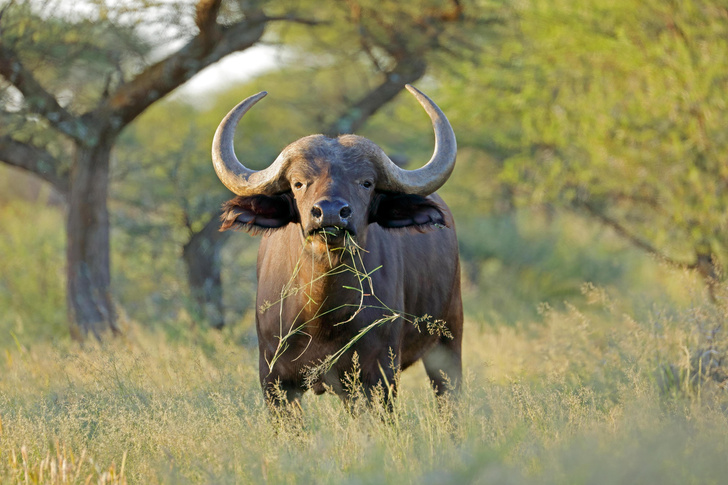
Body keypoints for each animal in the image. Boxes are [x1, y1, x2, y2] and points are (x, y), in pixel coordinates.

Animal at [212, 85, 460, 406]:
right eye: (298, 183)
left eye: (366, 182)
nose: (330, 212)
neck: (322, 313)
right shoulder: (275, 382)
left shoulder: (380, 377)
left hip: (448, 341)